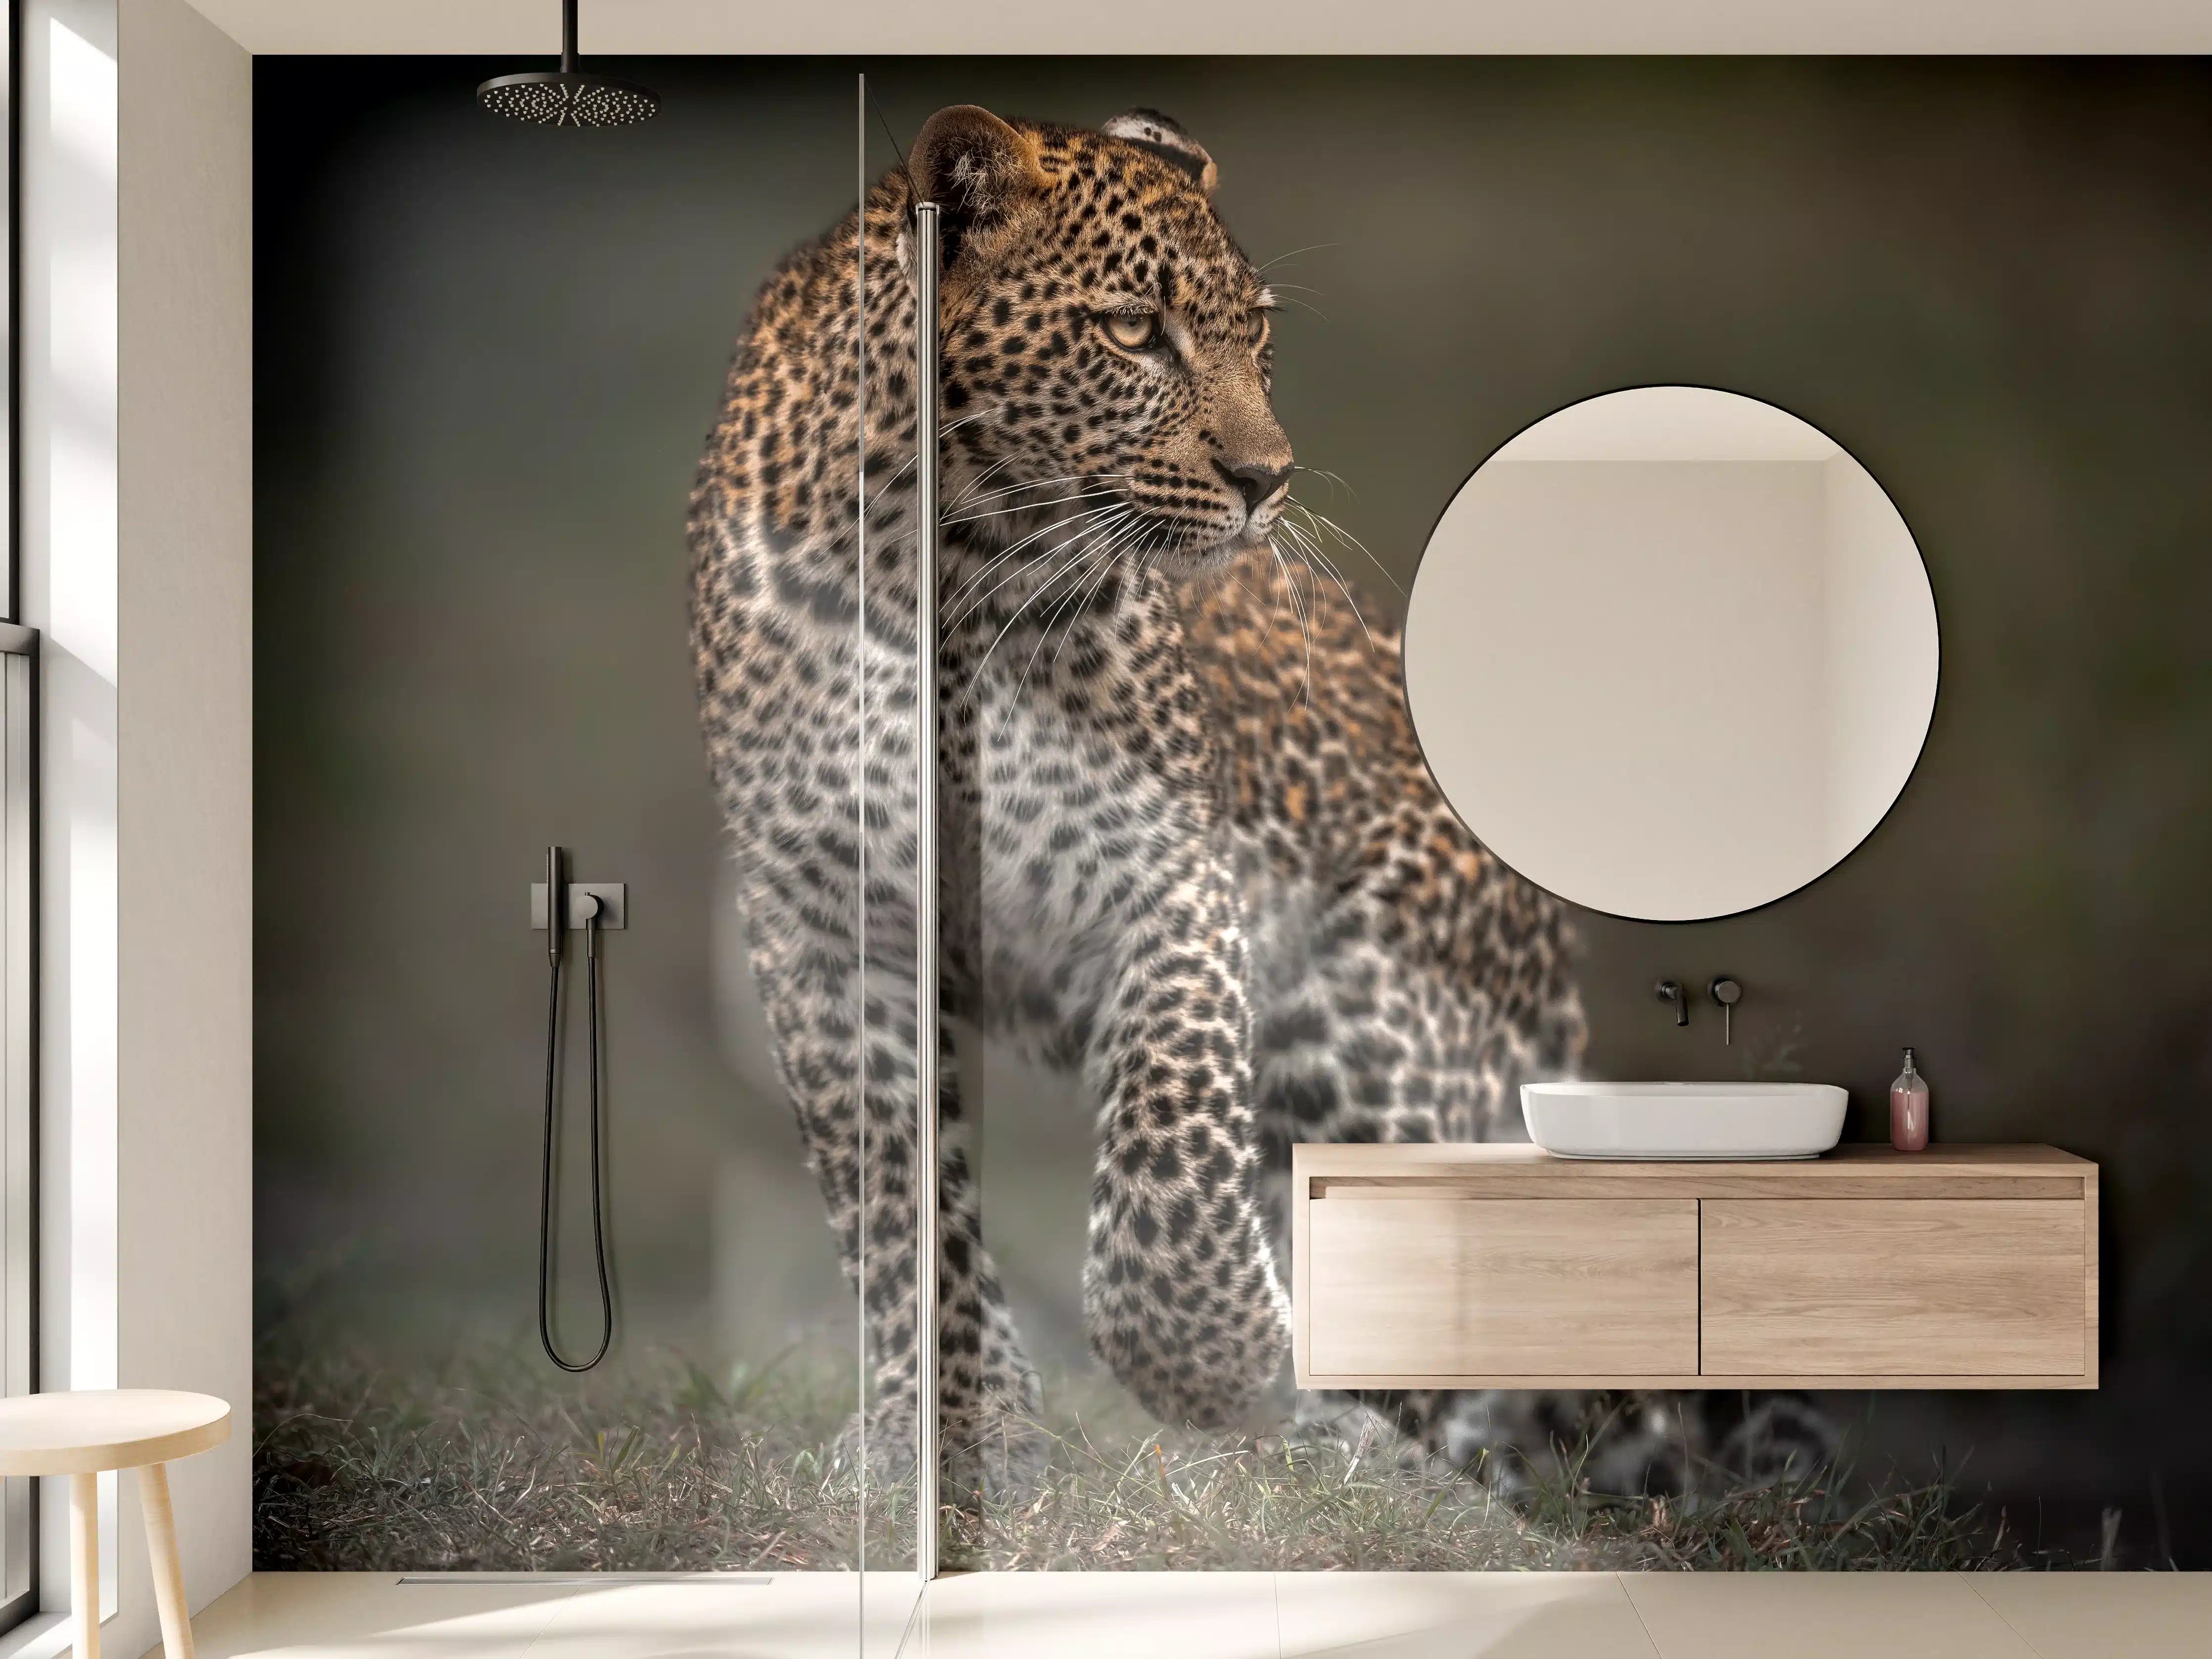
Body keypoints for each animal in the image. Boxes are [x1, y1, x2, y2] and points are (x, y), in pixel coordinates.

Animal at [688, 103, 1831, 1502]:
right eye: (1135, 330)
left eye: (1258, 340)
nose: (1266, 479)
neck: (939, 567)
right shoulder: (815, 926)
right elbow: (897, 1208)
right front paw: (951, 1428)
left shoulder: (1161, 872)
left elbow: (1172, 1145)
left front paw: (1219, 1359)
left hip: (1367, 1022)